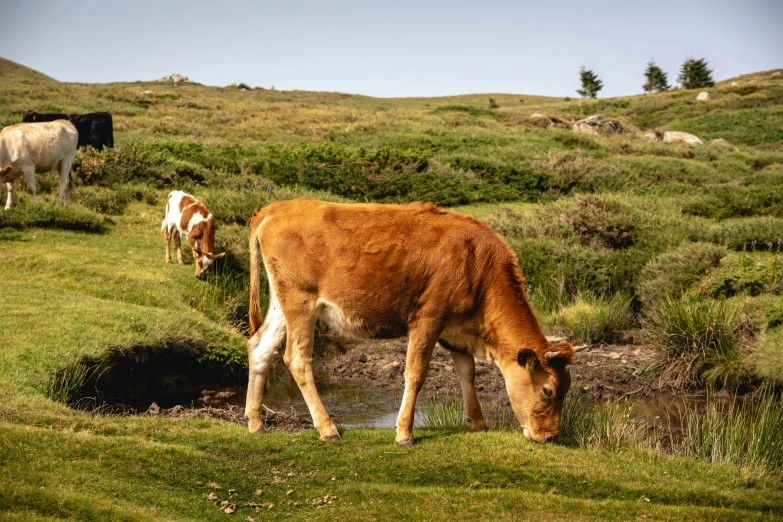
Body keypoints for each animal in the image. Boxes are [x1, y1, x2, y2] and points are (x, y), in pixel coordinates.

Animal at [248, 198, 580, 442]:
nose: (550, 436)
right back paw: (327, 429)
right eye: (548, 391)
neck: (479, 266)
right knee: (297, 358)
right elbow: (416, 374)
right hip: (301, 302)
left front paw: (478, 423)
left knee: (260, 348)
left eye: (567, 389)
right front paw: (405, 433)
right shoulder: (428, 319)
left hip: (281, 304)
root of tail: (275, 208)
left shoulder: (457, 331)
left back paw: (255, 422)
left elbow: (467, 373)